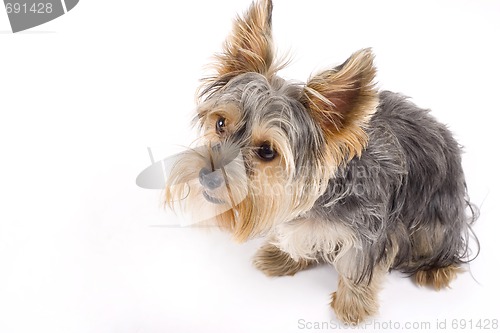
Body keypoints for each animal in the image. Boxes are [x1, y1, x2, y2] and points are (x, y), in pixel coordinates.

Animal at [164, 0, 476, 322]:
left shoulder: (371, 229)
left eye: (267, 152)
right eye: (220, 123)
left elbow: (359, 264)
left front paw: (351, 305)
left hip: (437, 217)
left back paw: (436, 268)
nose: (206, 175)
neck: (324, 193)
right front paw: (283, 256)